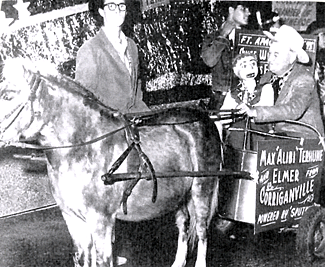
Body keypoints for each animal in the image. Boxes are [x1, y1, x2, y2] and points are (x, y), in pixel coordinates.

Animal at [0, 59, 221, 267]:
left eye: (8, 95)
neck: (85, 146)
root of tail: (204, 118)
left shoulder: (101, 221)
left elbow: (102, 260)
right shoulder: (73, 220)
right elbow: (82, 258)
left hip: (202, 189)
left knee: (202, 230)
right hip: (179, 195)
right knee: (183, 224)